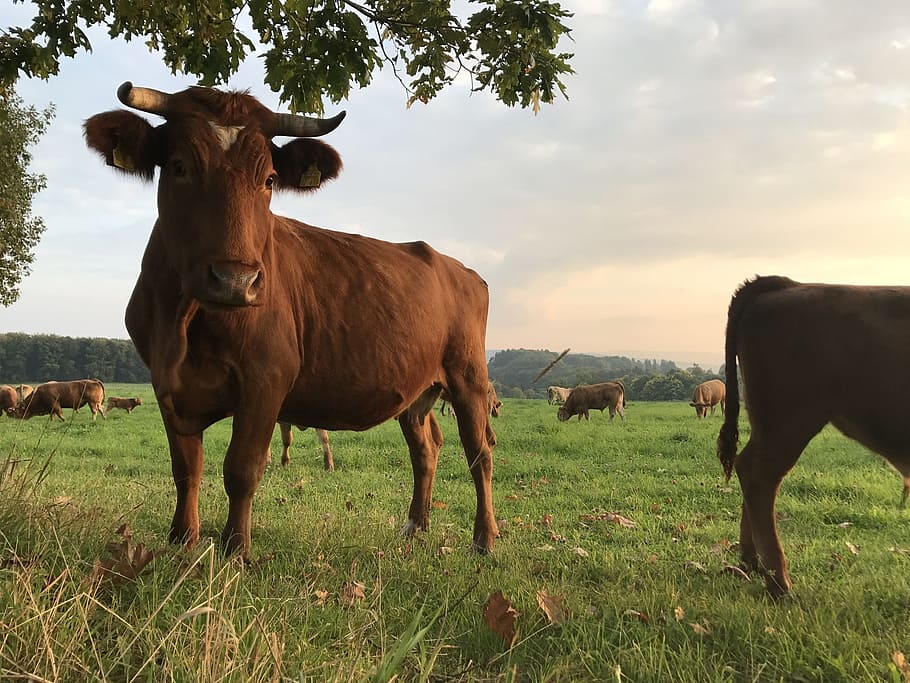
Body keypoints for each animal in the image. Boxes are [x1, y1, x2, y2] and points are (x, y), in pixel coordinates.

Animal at [84, 82, 498, 560]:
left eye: (268, 179)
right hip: (417, 390)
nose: (236, 280)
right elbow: (186, 468)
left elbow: (242, 468)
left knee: (479, 452)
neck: (182, 320)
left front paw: (236, 551)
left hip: (468, 376)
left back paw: (485, 539)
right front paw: (182, 540)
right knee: (426, 447)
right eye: (178, 166)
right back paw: (415, 525)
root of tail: (457, 267)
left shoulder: (268, 378)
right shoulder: (165, 383)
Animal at [717, 275, 910, 596]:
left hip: (769, 424)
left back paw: (753, 563)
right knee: (759, 476)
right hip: (791, 421)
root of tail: (790, 284)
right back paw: (779, 582)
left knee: (748, 467)